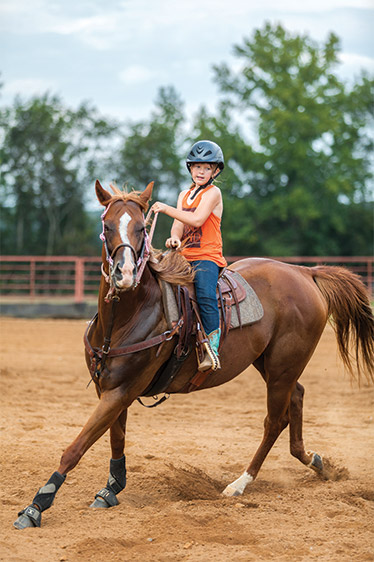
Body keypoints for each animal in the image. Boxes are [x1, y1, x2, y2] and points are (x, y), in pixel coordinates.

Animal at [13, 182, 372, 528]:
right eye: (106, 225)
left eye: (142, 228)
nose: (124, 274)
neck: (128, 316)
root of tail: (304, 273)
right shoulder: (111, 389)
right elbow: (116, 439)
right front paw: (111, 488)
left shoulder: (121, 391)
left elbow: (76, 447)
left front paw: (36, 506)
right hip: (271, 364)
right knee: (296, 398)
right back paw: (315, 462)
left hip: (283, 366)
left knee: (274, 420)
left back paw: (240, 483)